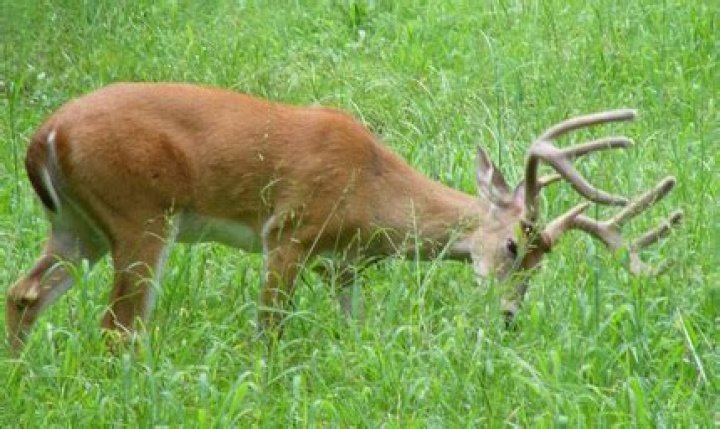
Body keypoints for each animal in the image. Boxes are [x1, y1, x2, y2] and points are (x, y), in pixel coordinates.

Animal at [6, 82, 683, 352]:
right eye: (517, 246)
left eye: (541, 264)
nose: (510, 315)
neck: (373, 192)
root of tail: (44, 136)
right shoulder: (287, 233)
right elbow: (269, 332)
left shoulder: (342, 265)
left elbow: (352, 330)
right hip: (140, 217)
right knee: (118, 329)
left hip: (79, 227)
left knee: (25, 293)